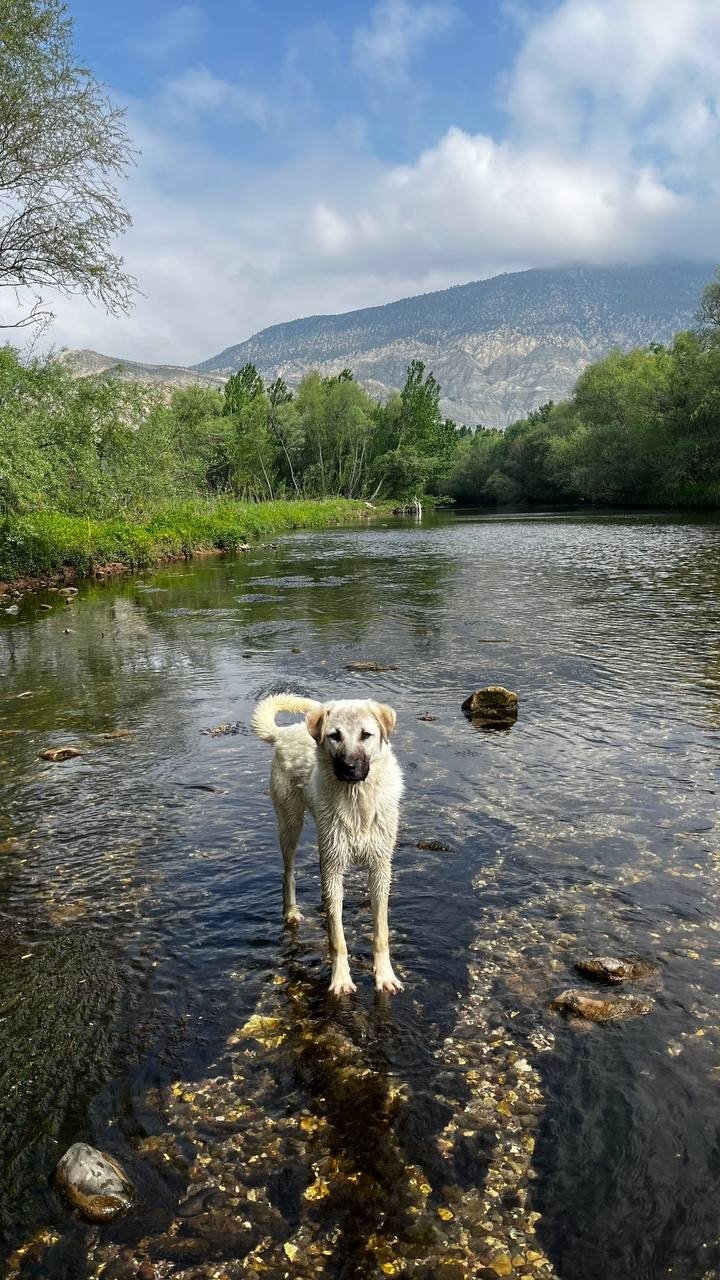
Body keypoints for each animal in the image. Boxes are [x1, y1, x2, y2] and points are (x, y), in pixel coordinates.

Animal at [249, 696, 399, 993]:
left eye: (366, 735)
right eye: (334, 736)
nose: (349, 768)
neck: (357, 800)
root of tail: (284, 733)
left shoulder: (379, 868)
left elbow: (381, 932)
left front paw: (385, 976)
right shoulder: (334, 862)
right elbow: (337, 938)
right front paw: (340, 980)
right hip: (291, 826)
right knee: (288, 873)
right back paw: (291, 911)